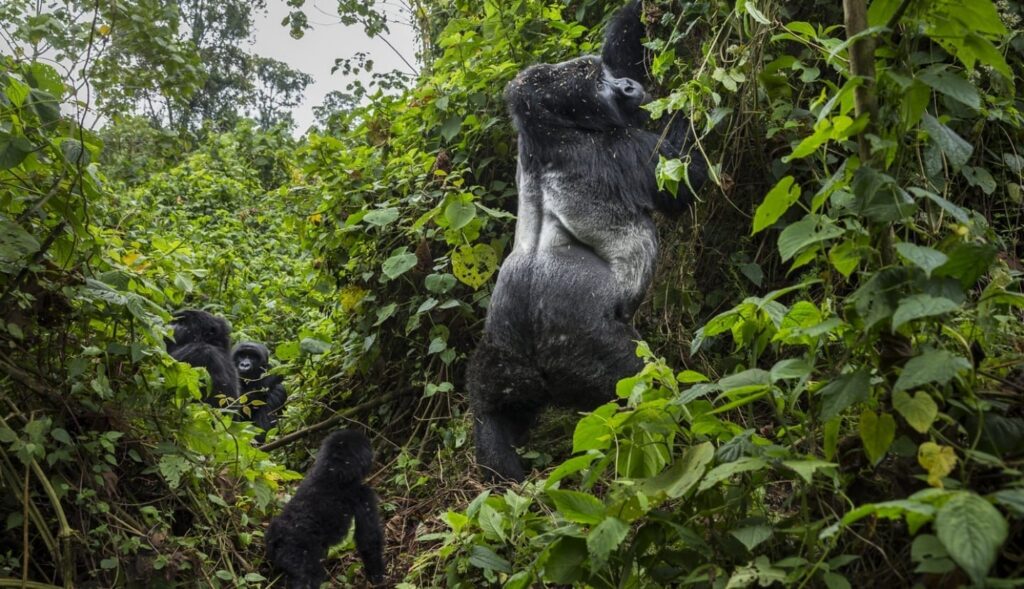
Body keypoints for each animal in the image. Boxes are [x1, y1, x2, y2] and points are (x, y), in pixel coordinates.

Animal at [266, 428, 385, 589]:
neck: (332, 470)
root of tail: (277, 538)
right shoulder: (363, 494)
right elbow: (369, 539)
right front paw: (377, 575)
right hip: (297, 553)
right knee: (308, 578)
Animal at [468, 1, 708, 483]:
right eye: (601, 85)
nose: (627, 86)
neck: (550, 125)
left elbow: (624, 47)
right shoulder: (621, 146)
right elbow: (685, 179)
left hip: (500, 356)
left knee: (492, 412)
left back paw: (509, 477)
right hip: (588, 352)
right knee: (643, 389)